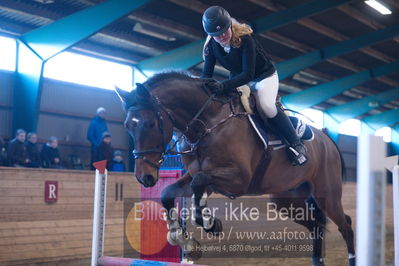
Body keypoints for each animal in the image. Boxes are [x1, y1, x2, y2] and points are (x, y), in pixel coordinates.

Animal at [115, 71, 356, 266]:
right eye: (127, 126)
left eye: (150, 124)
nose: (144, 177)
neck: (207, 123)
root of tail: (327, 140)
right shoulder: (201, 176)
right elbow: (170, 192)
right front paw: (180, 234)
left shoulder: (239, 180)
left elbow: (199, 184)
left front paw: (210, 224)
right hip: (285, 199)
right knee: (316, 224)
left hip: (327, 194)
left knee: (345, 225)